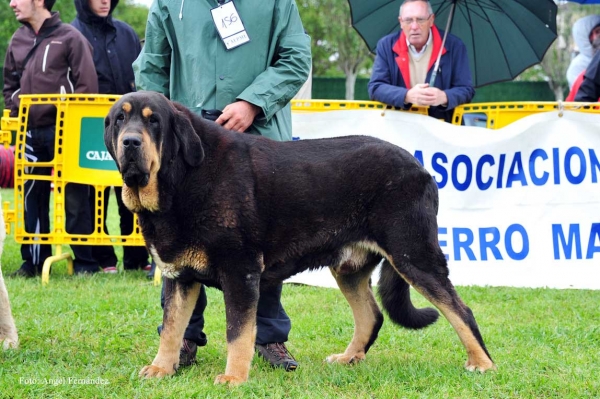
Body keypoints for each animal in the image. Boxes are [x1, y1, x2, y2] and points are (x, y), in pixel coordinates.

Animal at [104, 92, 496, 386]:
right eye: (120, 120)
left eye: (154, 121)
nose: (131, 142)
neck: (182, 179)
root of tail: (420, 167)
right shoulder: (179, 277)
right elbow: (172, 329)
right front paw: (161, 368)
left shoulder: (241, 272)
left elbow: (238, 332)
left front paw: (234, 378)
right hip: (350, 268)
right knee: (371, 316)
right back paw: (349, 357)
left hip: (413, 255)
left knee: (461, 310)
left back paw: (482, 364)